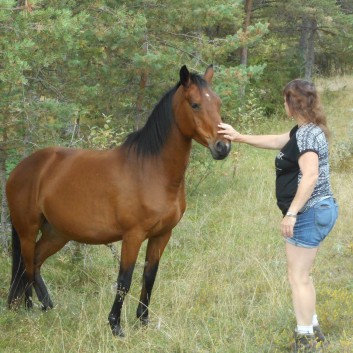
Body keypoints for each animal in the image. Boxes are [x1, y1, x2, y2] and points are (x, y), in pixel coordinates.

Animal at [7, 64, 231, 336]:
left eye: (218, 103)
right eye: (195, 104)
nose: (222, 147)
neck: (151, 170)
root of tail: (22, 168)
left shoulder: (162, 235)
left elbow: (149, 276)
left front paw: (143, 320)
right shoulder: (132, 235)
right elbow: (125, 279)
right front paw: (115, 325)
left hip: (56, 233)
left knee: (35, 263)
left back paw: (48, 306)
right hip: (27, 230)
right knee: (26, 266)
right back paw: (30, 310)